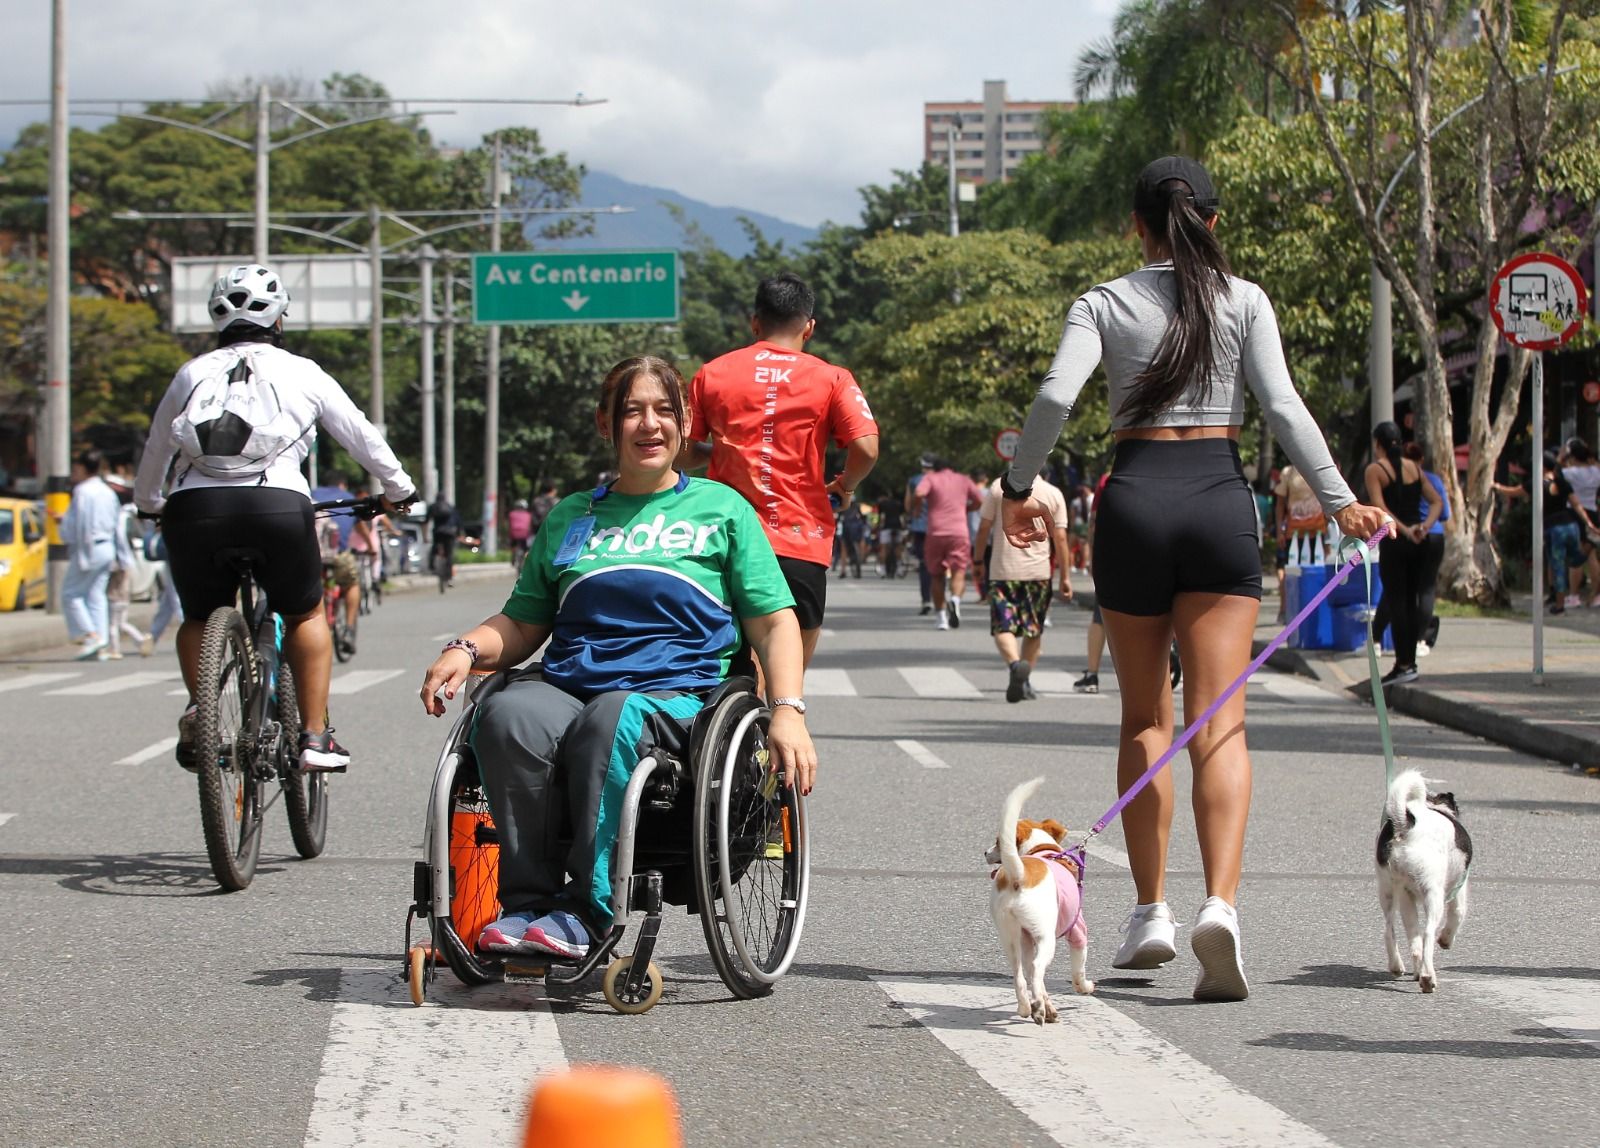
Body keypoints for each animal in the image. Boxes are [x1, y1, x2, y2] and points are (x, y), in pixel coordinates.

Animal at [979, 777, 1094, 1029]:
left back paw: (1027, 1007)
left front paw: (1047, 1005)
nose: (984, 852)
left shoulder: (1027, 940)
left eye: (997, 842)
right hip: (1045, 936)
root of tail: (1019, 875)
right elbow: (1078, 970)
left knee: (1021, 975)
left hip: (1011, 937)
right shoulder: (1077, 930)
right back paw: (1039, 1008)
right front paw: (1084, 987)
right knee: (1037, 969)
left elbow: (1032, 980)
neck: (1041, 850)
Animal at [1376, 767, 1472, 991]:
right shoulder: (1459, 888)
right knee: (1428, 933)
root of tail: (1406, 824)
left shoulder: (1406, 897)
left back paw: (1399, 967)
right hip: (1433, 894)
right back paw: (1428, 978)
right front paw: (1446, 940)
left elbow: (1414, 939)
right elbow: (1458, 914)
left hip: (1388, 889)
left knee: (1392, 930)